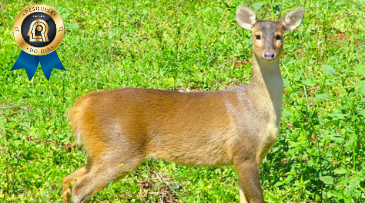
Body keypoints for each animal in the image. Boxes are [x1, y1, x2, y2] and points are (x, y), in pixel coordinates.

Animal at [62, 5, 304, 203]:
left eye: (280, 35)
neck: (259, 110)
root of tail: (81, 106)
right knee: (79, 188)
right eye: (257, 35)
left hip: (99, 151)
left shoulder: (254, 155)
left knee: (68, 179)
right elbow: (256, 197)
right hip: (120, 147)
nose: (269, 54)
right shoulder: (243, 151)